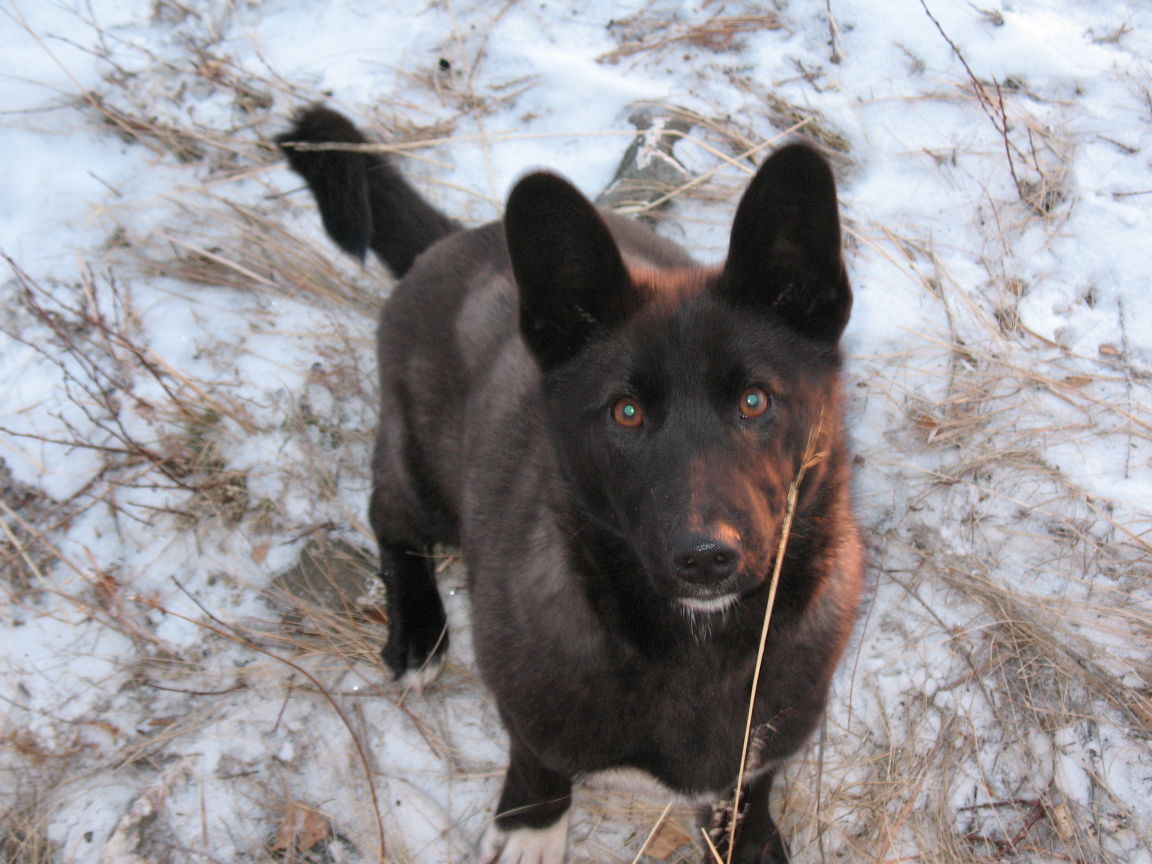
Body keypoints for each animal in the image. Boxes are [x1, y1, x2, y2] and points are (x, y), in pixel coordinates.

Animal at [278, 106, 861, 864]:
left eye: (755, 400)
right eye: (626, 412)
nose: (707, 558)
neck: (696, 647)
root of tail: (459, 237)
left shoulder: (772, 733)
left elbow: (749, 787)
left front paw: (751, 840)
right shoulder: (526, 700)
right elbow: (537, 758)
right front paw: (532, 825)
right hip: (424, 477)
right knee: (388, 516)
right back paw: (419, 631)